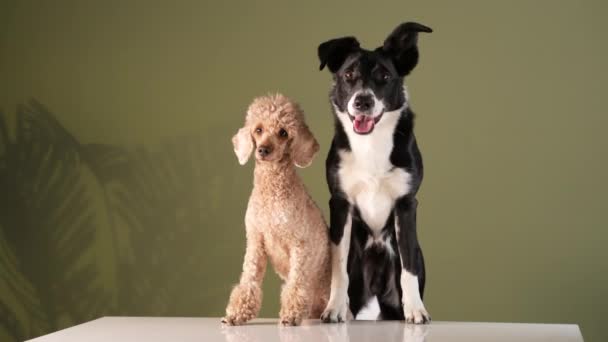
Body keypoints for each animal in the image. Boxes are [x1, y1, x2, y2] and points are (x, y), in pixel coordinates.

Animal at [318, 22, 432, 324]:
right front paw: (334, 308)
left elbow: (408, 267)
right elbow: (338, 266)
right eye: (348, 75)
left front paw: (416, 309)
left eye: (384, 76)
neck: (371, 143)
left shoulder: (406, 204)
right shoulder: (340, 202)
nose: (363, 102)